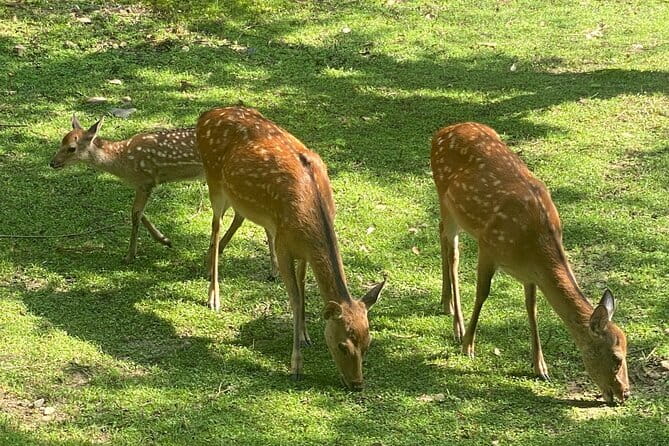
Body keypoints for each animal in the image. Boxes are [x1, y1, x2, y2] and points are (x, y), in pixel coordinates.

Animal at [50, 115, 278, 275]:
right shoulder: (144, 184)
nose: (52, 163)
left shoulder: (146, 180)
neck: (122, 161)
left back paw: (270, 269)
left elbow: (135, 214)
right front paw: (165, 239)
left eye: (71, 148)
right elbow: (140, 213)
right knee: (243, 215)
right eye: (61, 142)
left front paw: (130, 255)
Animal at [197, 105, 385, 390]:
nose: (357, 384)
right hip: (213, 180)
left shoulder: (303, 249)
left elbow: (304, 285)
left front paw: (306, 335)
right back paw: (213, 295)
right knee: (215, 225)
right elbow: (295, 299)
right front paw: (296, 365)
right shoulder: (284, 243)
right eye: (343, 346)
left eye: (368, 343)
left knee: (238, 218)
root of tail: (206, 114)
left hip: (238, 197)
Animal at [430, 122, 629, 404]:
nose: (625, 393)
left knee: (441, 236)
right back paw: (457, 325)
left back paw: (445, 303)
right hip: (446, 201)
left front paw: (540, 367)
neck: (535, 243)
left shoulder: (530, 274)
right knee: (453, 253)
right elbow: (482, 295)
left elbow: (532, 309)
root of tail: (441, 132)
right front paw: (468, 346)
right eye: (616, 357)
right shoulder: (488, 246)